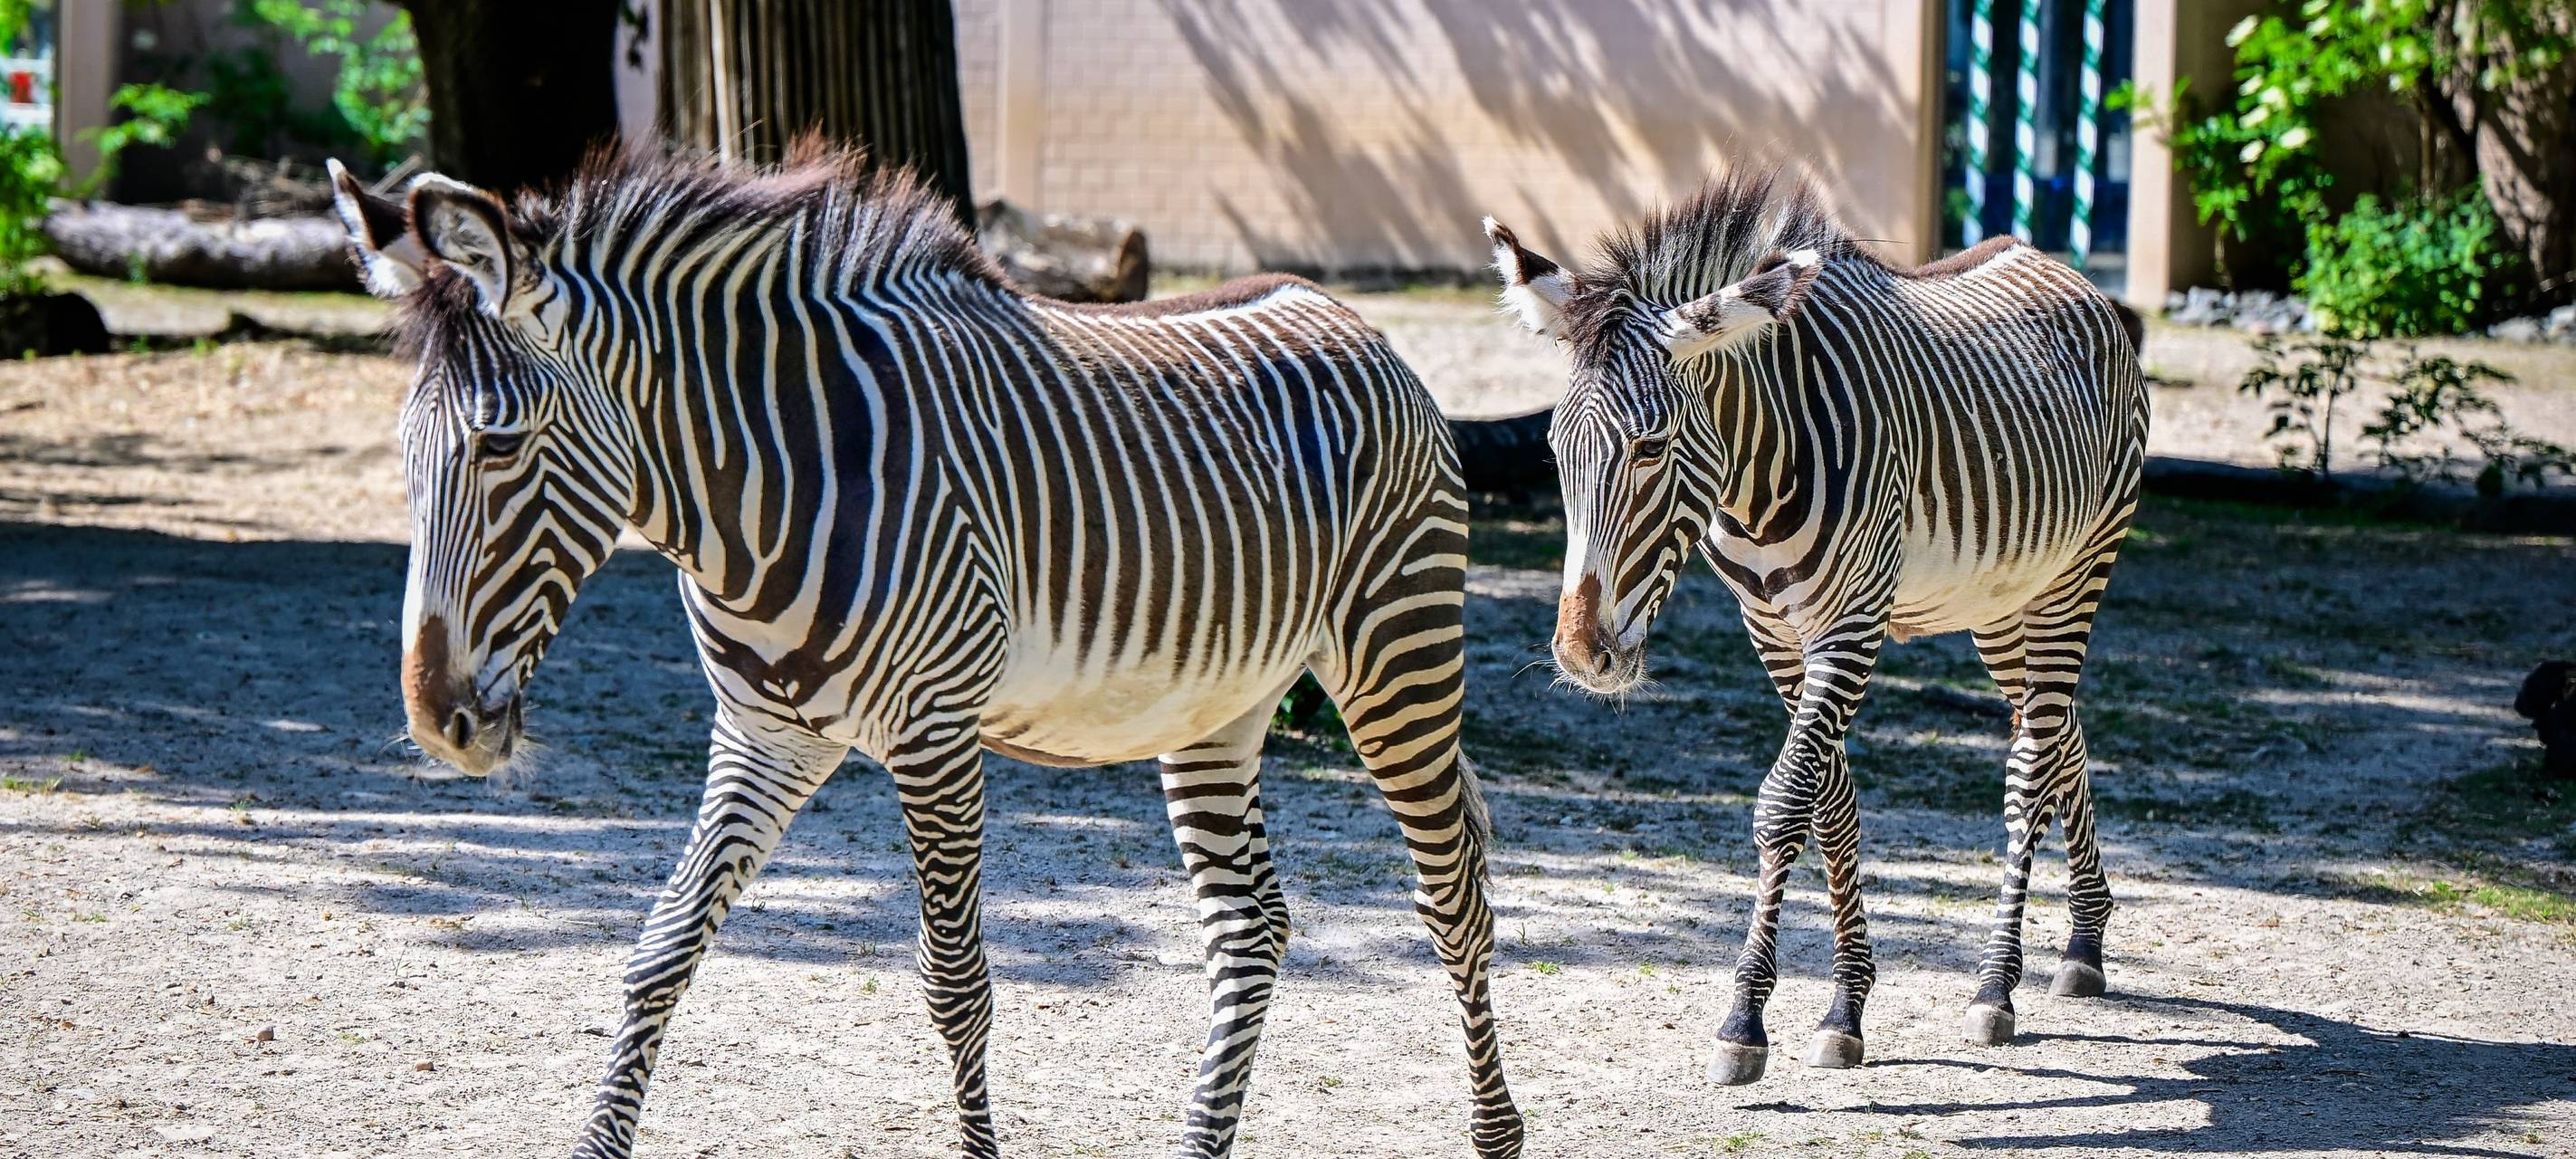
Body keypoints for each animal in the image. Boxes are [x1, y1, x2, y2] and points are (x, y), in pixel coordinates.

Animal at [327, 147, 1522, 1158]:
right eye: (404, 451)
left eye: (498, 445)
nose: (438, 721)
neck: (759, 494)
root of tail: (1343, 312)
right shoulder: (763, 735)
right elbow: (660, 948)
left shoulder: (935, 734)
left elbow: (956, 982)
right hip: (1214, 707)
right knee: (1252, 926)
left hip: (1397, 653)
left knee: (1453, 898)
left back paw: (1493, 1130)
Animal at [1483, 167, 2148, 1082]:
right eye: (1553, 448)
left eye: (1651, 447)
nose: (1584, 654)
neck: (1754, 478)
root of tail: (2062, 270)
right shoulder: (1771, 628)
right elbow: (1831, 801)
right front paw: (1846, 1003)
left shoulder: (1852, 623)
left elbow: (1784, 802)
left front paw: (1744, 1021)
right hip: (2002, 603)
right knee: (2062, 733)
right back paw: (2083, 941)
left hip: (2077, 575)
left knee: (2032, 760)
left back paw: (1995, 987)